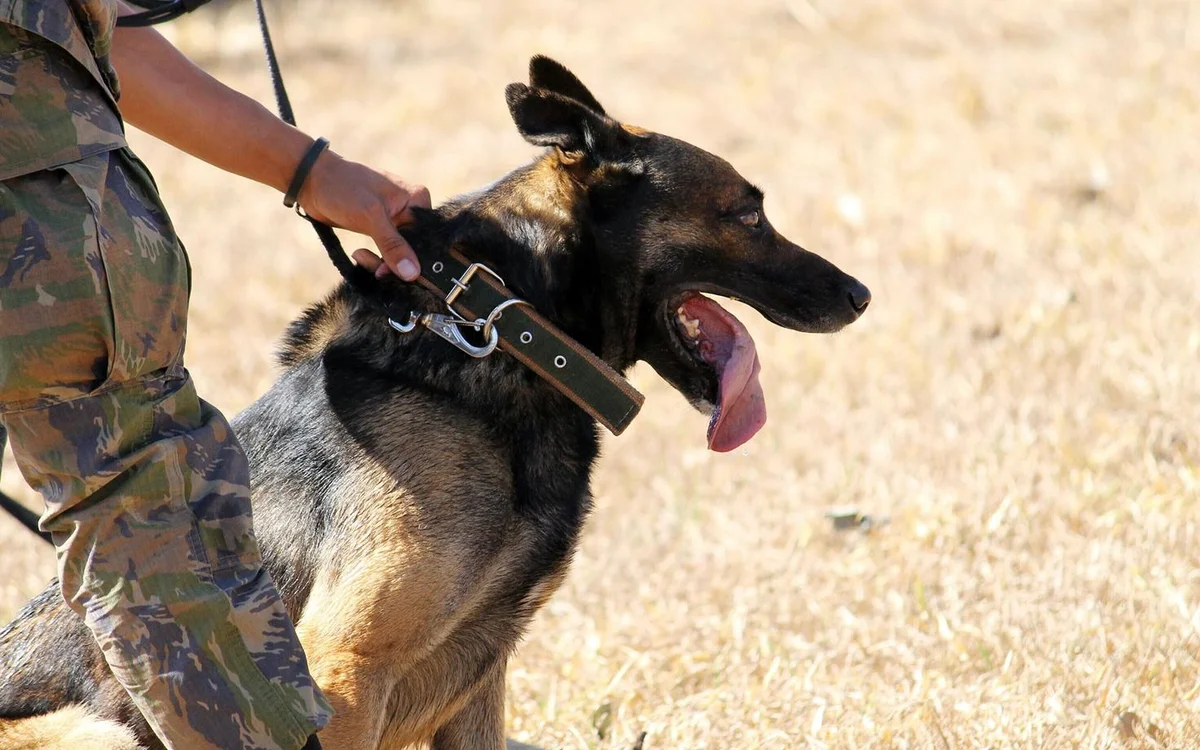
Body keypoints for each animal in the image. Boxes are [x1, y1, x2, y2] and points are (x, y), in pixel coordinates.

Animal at [0, 55, 868, 744]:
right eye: (748, 214)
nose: (860, 295)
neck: (501, 332)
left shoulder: (479, 679)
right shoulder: (344, 670)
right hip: (93, 730)